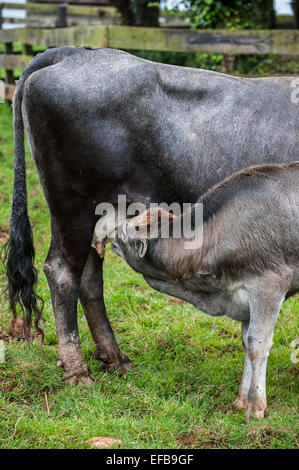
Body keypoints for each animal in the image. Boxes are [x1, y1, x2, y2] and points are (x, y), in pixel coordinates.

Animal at [2, 46, 299, 388]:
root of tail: (74, 53)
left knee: (89, 277)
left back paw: (114, 357)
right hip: (72, 209)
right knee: (63, 272)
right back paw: (77, 369)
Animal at [110, 163, 299, 420]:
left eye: (126, 232)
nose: (109, 235)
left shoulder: (269, 284)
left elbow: (257, 345)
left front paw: (255, 407)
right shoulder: (243, 298)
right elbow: (246, 343)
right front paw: (241, 400)